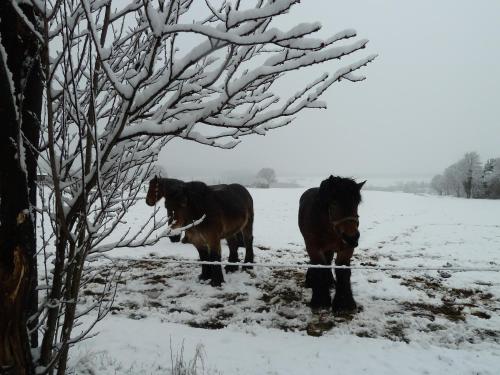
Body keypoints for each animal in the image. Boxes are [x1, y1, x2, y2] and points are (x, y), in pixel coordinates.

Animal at [298, 176, 366, 314]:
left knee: (328, 261)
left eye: (356, 203)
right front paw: (320, 301)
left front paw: (344, 303)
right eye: (334, 203)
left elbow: (343, 271)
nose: (352, 237)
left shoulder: (346, 249)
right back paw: (311, 281)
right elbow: (319, 267)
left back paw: (329, 282)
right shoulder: (313, 248)